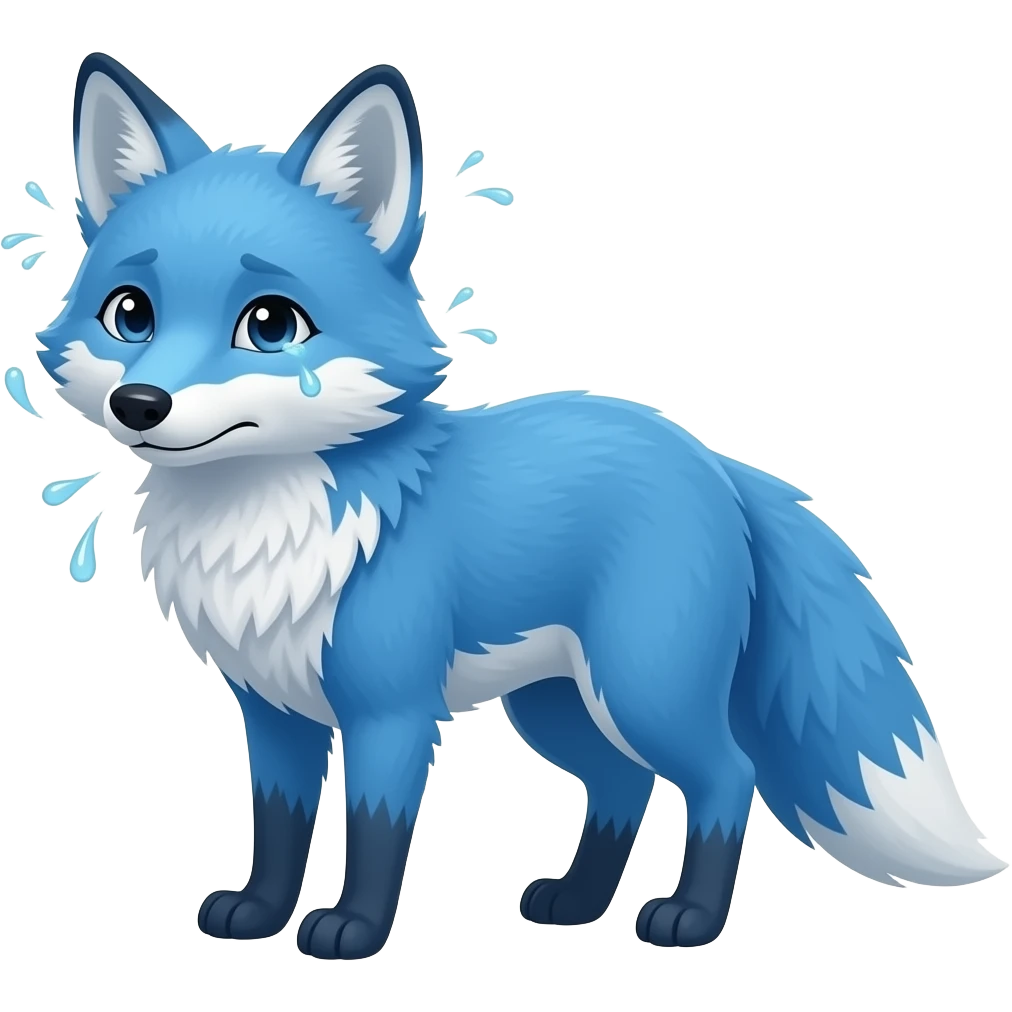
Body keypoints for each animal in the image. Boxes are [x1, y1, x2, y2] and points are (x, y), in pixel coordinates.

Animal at [36, 52, 1006, 960]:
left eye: (270, 325)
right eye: (131, 313)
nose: (140, 405)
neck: (267, 525)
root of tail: (711, 460)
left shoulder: (391, 710)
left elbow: (378, 834)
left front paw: (353, 930)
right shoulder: (273, 712)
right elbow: (276, 827)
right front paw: (258, 914)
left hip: (641, 686)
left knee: (726, 776)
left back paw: (689, 919)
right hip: (558, 705)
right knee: (622, 785)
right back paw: (576, 904)